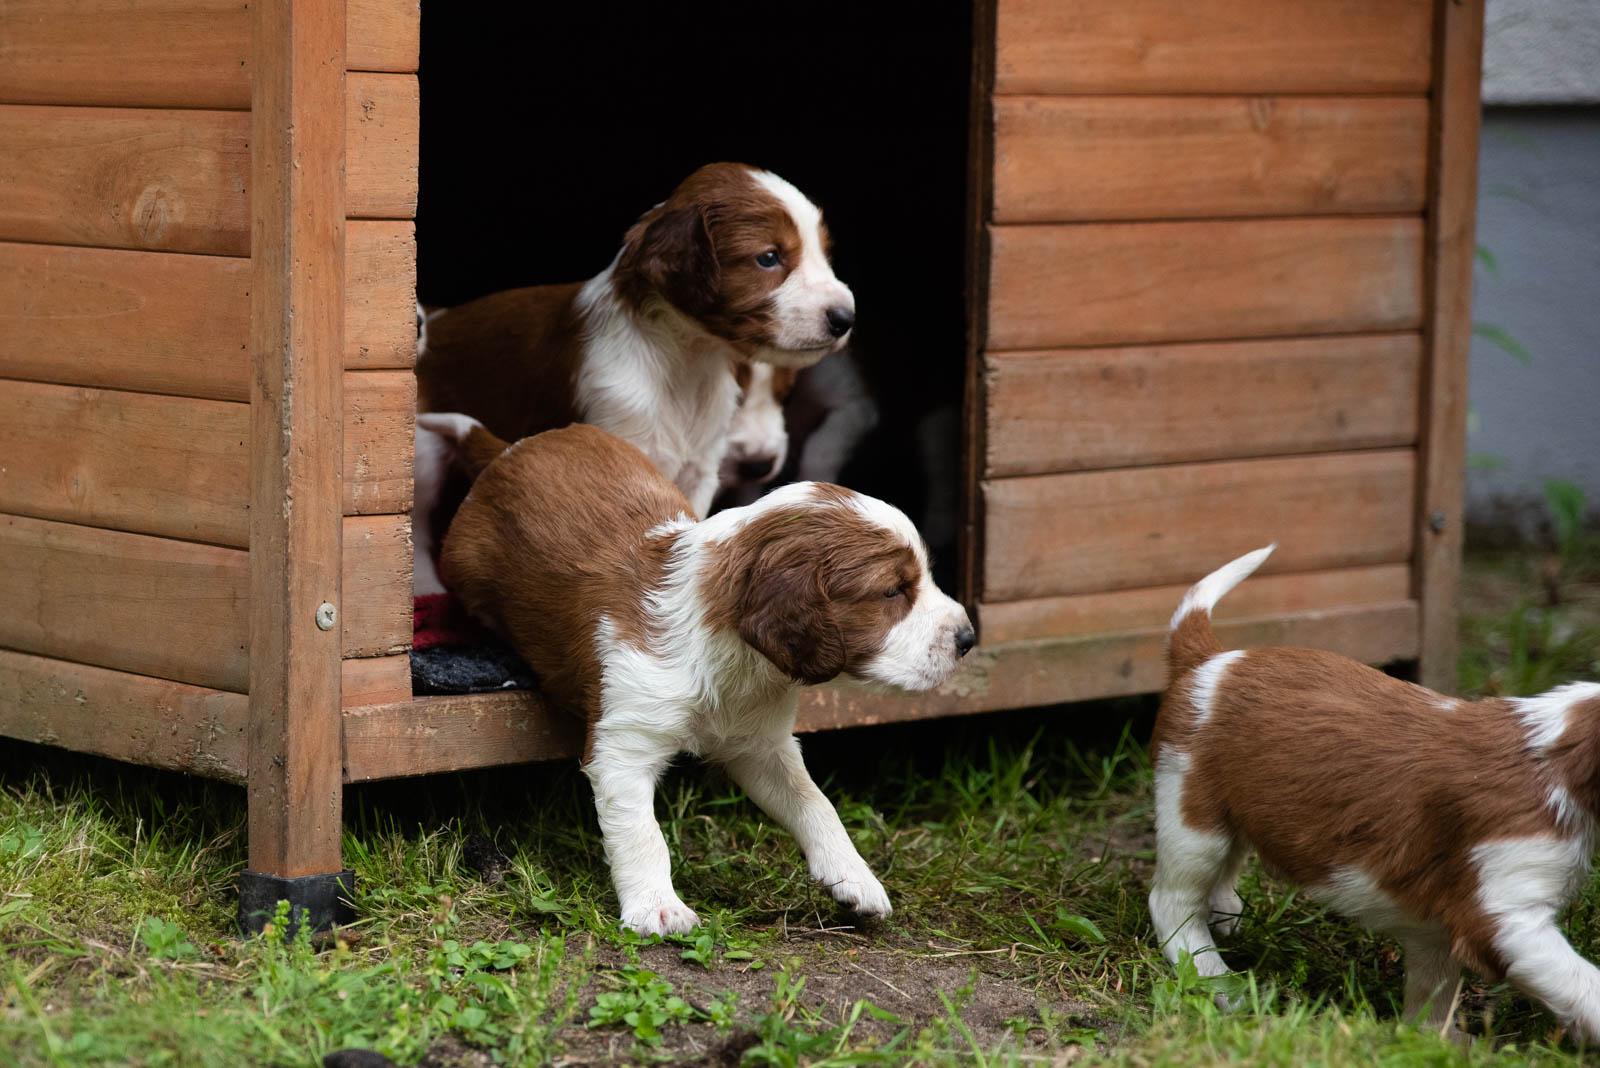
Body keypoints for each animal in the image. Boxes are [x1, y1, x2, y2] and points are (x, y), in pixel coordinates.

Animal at [425, 415, 972, 933]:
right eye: (892, 591)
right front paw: (657, 908)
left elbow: (815, 801)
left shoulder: (762, 746)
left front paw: (855, 877)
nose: (968, 639)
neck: (731, 662)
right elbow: (644, 834)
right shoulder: (624, 744)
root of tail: (510, 448)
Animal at [1158, 546, 1600, 1036]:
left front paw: (1432, 1042)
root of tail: (1211, 661)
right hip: (1192, 816)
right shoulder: (1505, 912)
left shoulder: (1439, 929)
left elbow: (1431, 996)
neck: (1556, 759)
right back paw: (1218, 980)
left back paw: (1225, 913)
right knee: (1173, 903)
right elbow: (1584, 983)